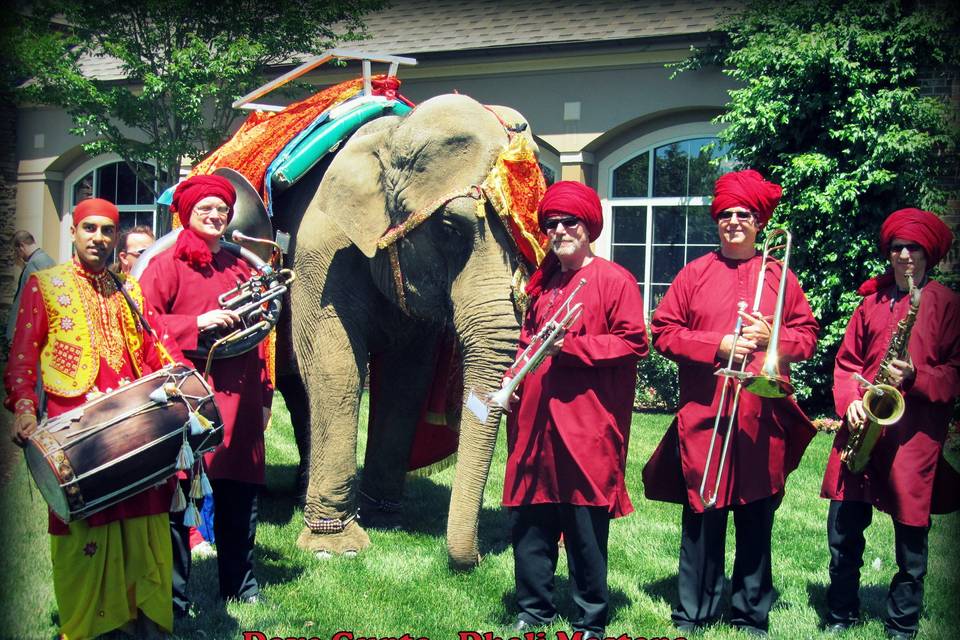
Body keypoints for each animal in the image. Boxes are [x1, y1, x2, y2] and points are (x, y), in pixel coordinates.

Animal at [278, 92, 544, 568]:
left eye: (529, 241)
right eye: (450, 228)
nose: (479, 558)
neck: (389, 137)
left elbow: (408, 378)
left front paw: (384, 518)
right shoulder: (318, 248)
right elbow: (333, 367)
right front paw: (336, 548)